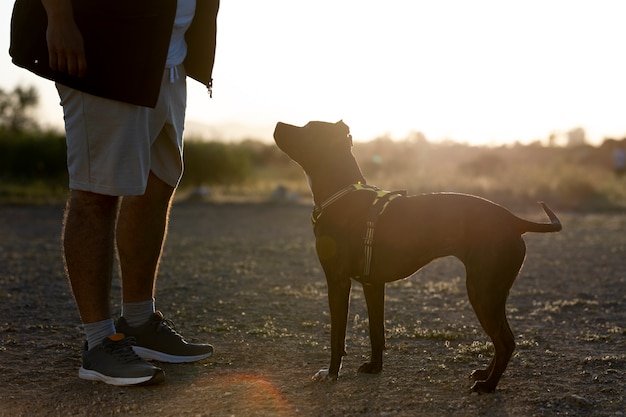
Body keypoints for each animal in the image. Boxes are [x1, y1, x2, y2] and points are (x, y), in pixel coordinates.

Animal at [272, 118, 560, 392]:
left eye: (308, 128)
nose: (277, 124)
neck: (342, 194)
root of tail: (514, 220)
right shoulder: (372, 284)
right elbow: (376, 332)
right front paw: (375, 367)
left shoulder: (338, 282)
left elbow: (337, 336)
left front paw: (331, 373)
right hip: (492, 294)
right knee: (503, 339)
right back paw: (485, 375)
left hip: (483, 291)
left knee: (505, 342)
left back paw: (488, 386)